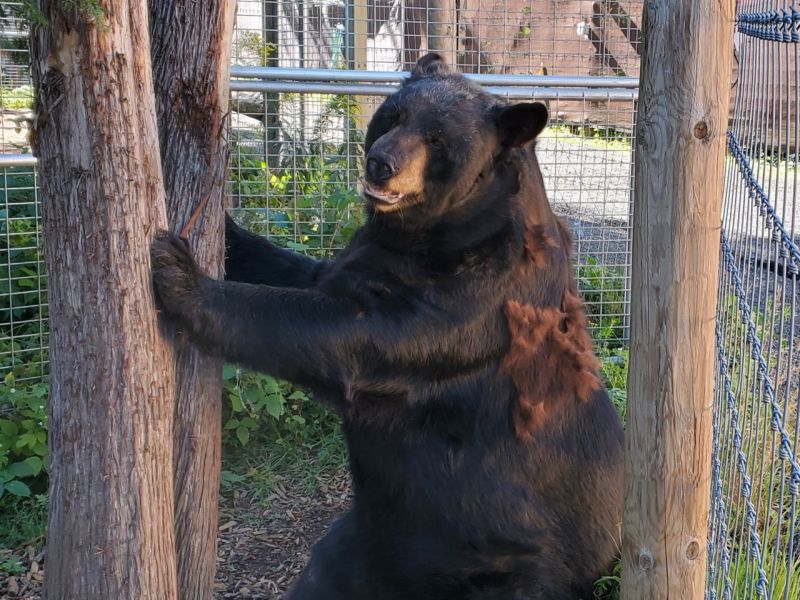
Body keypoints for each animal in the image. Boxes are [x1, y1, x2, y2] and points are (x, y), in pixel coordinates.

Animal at [151, 53, 624, 600]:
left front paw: (182, 275)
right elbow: (304, 273)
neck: (437, 237)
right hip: (359, 542)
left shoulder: (480, 300)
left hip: (513, 566)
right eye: (393, 116)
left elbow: (353, 337)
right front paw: (227, 230)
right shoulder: (371, 257)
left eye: (438, 140)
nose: (381, 162)